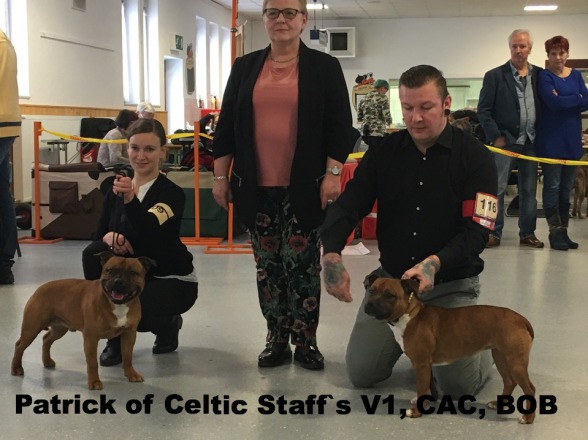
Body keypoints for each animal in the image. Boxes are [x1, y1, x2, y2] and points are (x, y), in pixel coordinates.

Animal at [11, 252, 155, 390]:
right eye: (110, 270)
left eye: (133, 273)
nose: (118, 281)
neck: (117, 305)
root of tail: (39, 288)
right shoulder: (91, 338)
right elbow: (92, 363)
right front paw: (94, 382)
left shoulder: (129, 334)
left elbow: (128, 356)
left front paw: (131, 374)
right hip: (31, 328)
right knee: (19, 345)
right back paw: (16, 368)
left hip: (59, 329)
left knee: (46, 339)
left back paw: (47, 361)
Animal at [363, 274, 536, 424]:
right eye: (371, 291)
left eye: (389, 295)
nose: (369, 305)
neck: (409, 315)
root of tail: (520, 319)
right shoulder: (424, 364)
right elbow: (427, 385)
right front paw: (425, 400)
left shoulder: (421, 363)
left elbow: (421, 386)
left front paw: (417, 412)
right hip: (501, 357)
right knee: (509, 381)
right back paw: (498, 404)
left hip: (515, 362)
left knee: (529, 389)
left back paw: (528, 418)